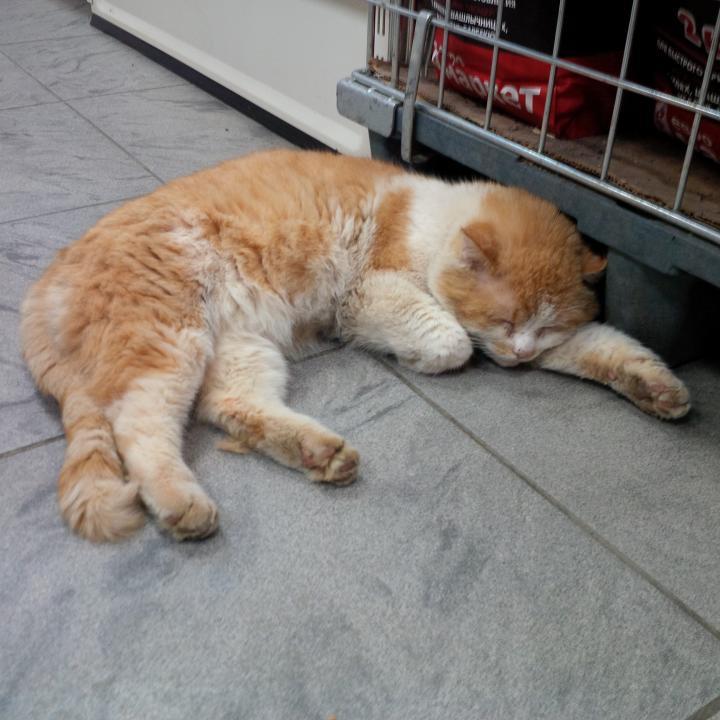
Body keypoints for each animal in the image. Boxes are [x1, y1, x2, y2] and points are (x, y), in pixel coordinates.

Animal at [21, 149, 690, 543]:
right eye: (506, 317)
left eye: (544, 328)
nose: (521, 357)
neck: (430, 224)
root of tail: (43, 284)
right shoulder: (369, 295)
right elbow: (451, 342)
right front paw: (428, 358)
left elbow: (606, 347)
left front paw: (657, 387)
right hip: (168, 341)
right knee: (139, 424)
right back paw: (180, 501)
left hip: (239, 348)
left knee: (228, 408)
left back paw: (320, 453)